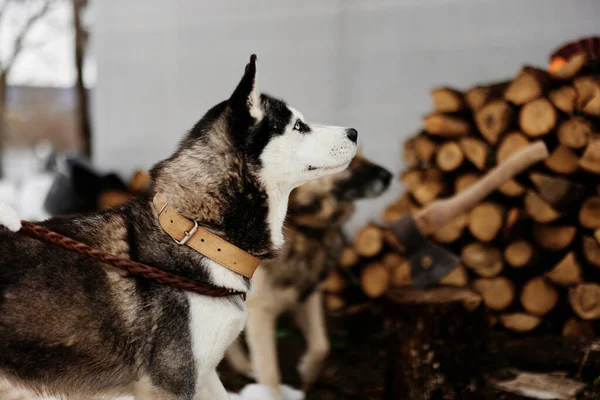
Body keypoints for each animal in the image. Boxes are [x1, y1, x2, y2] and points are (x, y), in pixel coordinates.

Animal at [224, 151, 390, 400]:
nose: (389, 176)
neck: (299, 227)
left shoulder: (307, 293)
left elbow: (322, 345)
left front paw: (307, 370)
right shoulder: (260, 311)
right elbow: (270, 371)